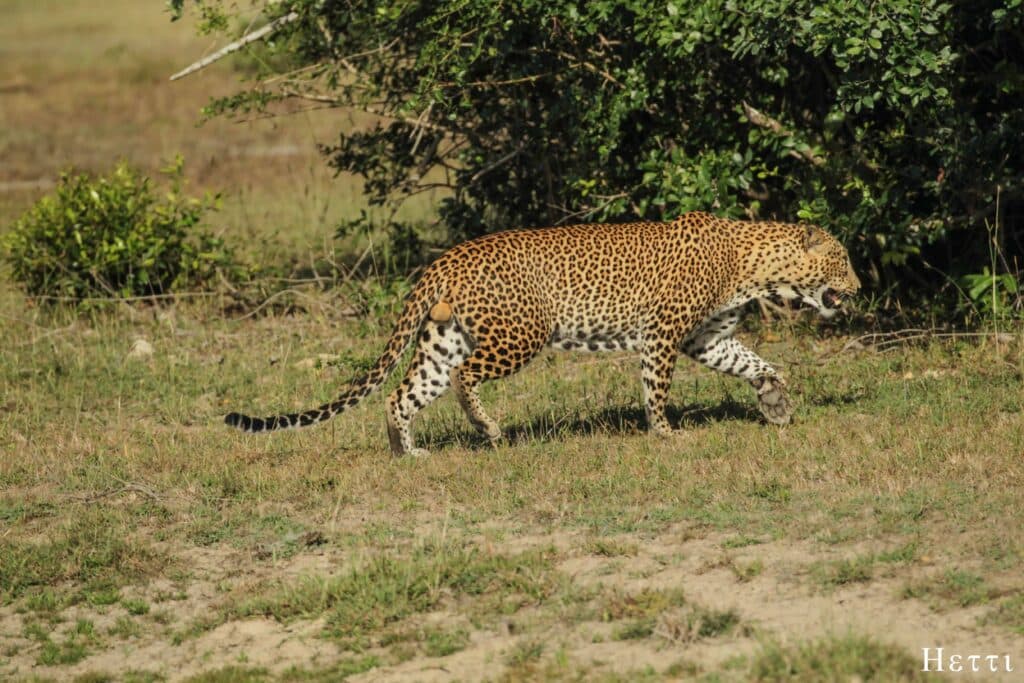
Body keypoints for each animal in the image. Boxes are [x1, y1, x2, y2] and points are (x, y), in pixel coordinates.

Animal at [225, 211, 860, 456]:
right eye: (844, 259)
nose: (857, 287)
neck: (754, 266)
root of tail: (444, 259)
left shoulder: (706, 339)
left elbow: (758, 364)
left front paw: (776, 405)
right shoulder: (663, 336)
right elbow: (656, 388)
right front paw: (665, 434)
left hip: (444, 337)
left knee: (402, 393)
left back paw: (406, 452)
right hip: (520, 333)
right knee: (464, 379)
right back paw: (490, 430)